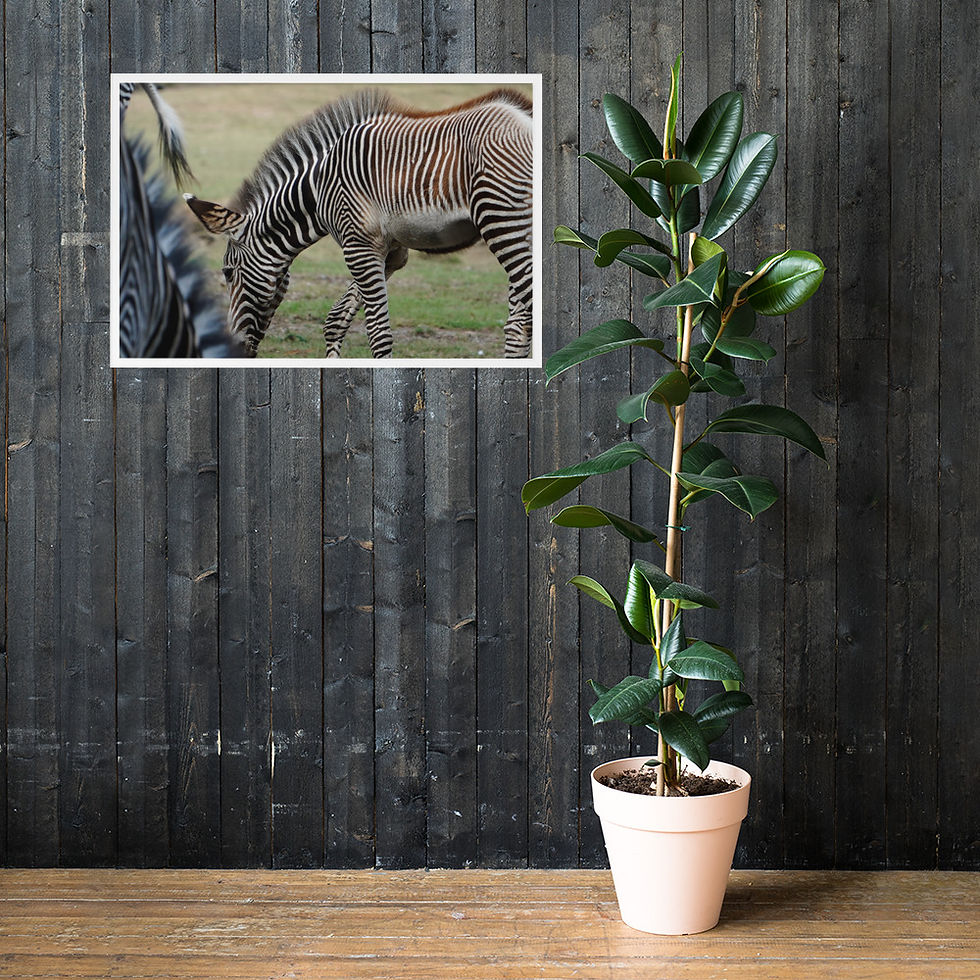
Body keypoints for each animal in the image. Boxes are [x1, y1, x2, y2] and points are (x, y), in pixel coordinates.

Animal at [184, 87, 534, 359]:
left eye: (228, 273)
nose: (233, 350)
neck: (319, 189)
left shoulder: (359, 246)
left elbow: (378, 334)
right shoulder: (389, 251)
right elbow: (336, 319)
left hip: (503, 223)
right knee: (518, 325)